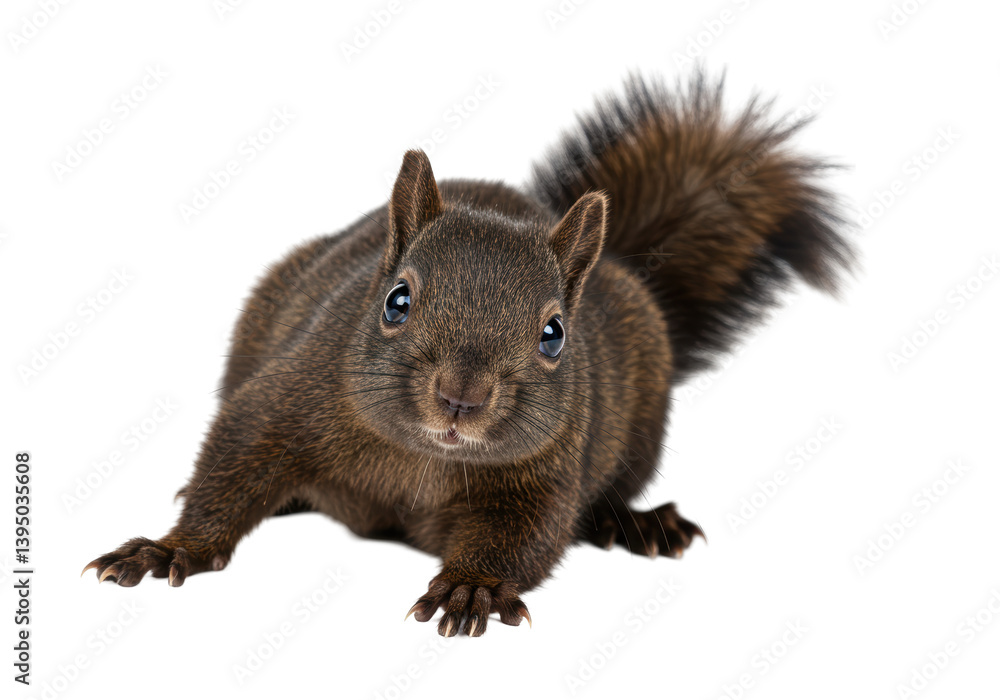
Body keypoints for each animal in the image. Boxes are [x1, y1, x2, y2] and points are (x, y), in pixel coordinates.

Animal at [84, 72, 853, 637]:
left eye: (554, 334)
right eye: (396, 300)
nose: (462, 398)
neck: (421, 461)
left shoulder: (543, 473)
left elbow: (526, 534)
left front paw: (471, 588)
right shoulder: (289, 393)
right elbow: (234, 461)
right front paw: (172, 547)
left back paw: (632, 522)